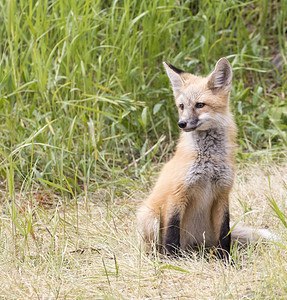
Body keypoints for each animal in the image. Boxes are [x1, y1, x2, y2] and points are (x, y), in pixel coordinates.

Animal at [137, 58, 274, 258]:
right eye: (181, 106)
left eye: (200, 105)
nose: (181, 123)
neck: (208, 161)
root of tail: (192, 244)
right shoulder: (177, 194)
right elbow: (171, 233)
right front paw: (171, 260)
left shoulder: (222, 194)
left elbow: (224, 234)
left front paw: (226, 260)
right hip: (149, 217)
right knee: (155, 244)